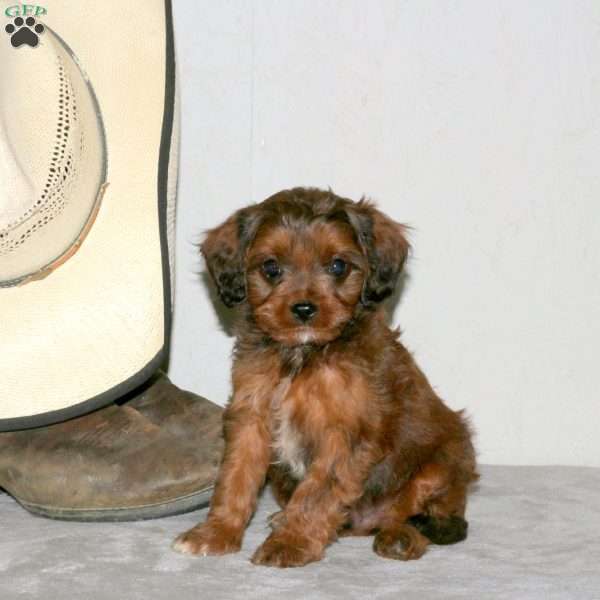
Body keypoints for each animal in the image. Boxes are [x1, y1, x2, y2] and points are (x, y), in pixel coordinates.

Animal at [173, 188, 478, 568]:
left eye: (338, 266)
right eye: (271, 268)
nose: (304, 309)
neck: (303, 357)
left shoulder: (344, 432)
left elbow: (317, 492)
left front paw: (290, 542)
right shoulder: (250, 417)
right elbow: (235, 478)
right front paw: (217, 533)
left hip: (442, 464)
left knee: (419, 516)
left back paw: (400, 538)